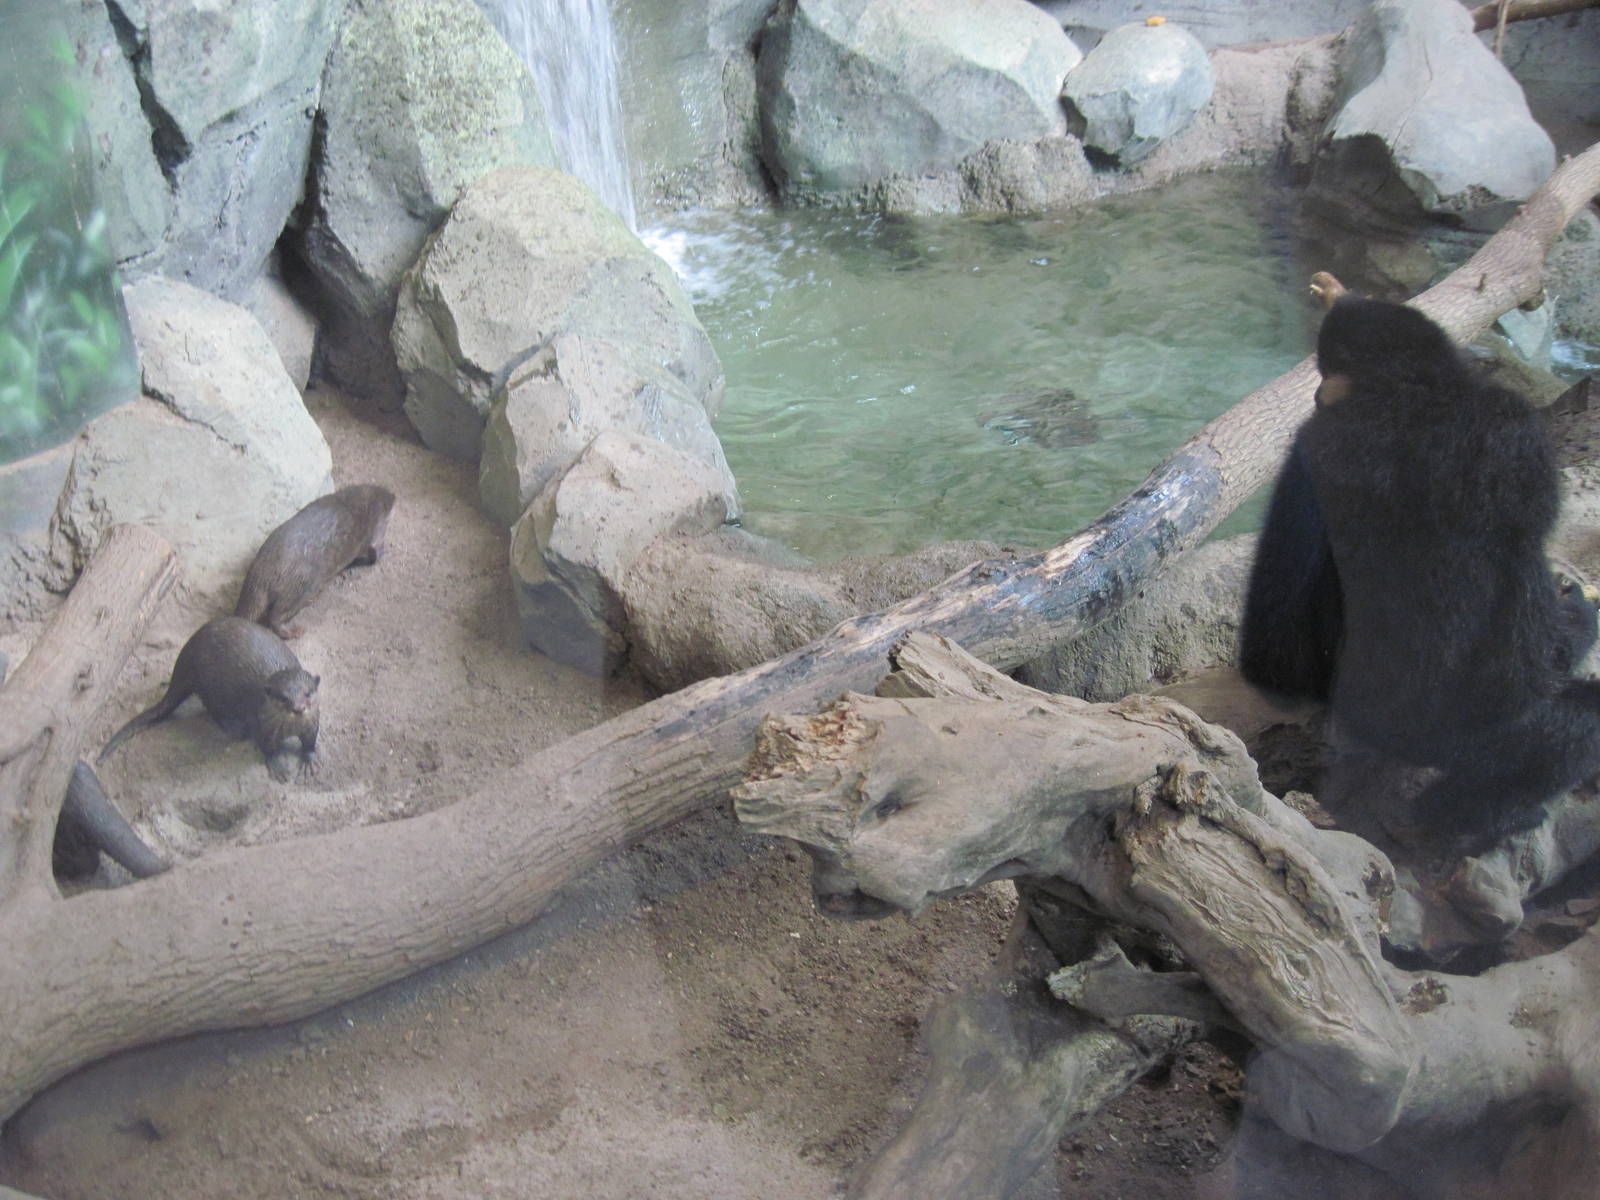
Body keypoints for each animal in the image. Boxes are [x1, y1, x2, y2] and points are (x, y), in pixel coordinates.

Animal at [98, 617, 320, 782]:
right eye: (283, 698)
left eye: (307, 693)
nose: (298, 708)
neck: (289, 729)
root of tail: (185, 655)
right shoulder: (260, 724)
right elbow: (267, 747)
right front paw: (277, 765)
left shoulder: (312, 722)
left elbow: (310, 741)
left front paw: (310, 759)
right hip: (210, 688)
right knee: (214, 710)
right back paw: (234, 728)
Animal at [235, 484, 395, 638]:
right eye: (387, 521)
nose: (393, 497)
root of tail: (261, 575)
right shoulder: (377, 529)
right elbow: (375, 550)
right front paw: (382, 552)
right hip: (301, 584)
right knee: (276, 616)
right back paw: (295, 630)